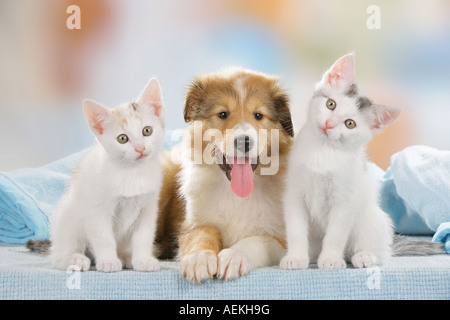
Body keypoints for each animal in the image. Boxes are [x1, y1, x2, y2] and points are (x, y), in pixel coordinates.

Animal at [49, 77, 165, 272]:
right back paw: (75, 259)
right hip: (68, 217)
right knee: (58, 256)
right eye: (122, 139)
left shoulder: (148, 208)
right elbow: (103, 237)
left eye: (147, 130)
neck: (132, 172)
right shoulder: (97, 210)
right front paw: (109, 261)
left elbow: (144, 236)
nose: (140, 148)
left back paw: (125, 256)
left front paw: (143, 260)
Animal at [158, 67, 296, 282]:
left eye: (258, 115)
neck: (236, 195)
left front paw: (232, 257)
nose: (244, 141)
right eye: (223, 114)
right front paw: (199, 259)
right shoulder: (195, 222)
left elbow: (256, 241)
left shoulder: (281, 239)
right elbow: (201, 236)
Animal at [282, 53, 400, 268]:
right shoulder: (294, 193)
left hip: (373, 220)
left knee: (381, 251)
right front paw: (296, 257)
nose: (329, 124)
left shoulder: (345, 200)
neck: (323, 150)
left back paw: (364, 256)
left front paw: (330, 259)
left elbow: (336, 233)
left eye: (350, 124)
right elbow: (295, 230)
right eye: (331, 104)